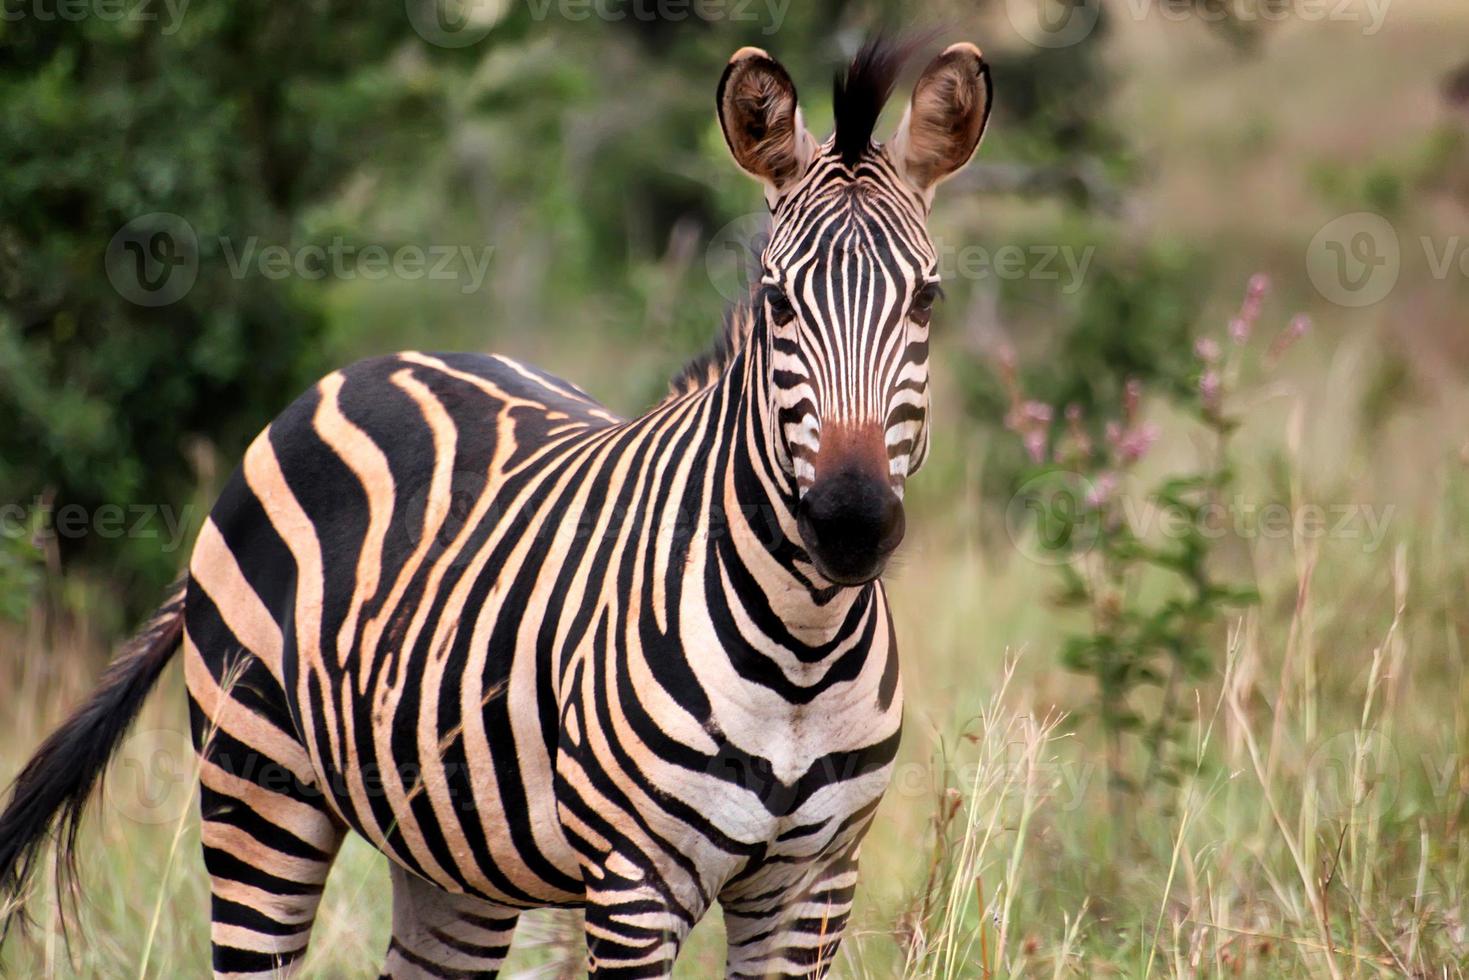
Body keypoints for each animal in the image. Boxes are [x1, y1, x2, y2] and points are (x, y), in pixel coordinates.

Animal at [0, 34, 993, 975]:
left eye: (927, 299)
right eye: (778, 303)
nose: (850, 524)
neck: (801, 647)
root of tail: (348, 376)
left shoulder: (813, 889)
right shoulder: (632, 886)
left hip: (450, 855)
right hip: (256, 786)